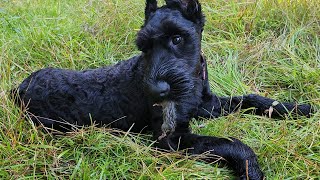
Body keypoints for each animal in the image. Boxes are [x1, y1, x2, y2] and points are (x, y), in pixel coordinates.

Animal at [11, 0, 310, 179]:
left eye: (177, 38)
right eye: (143, 46)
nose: (157, 91)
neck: (193, 81)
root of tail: (20, 86)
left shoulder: (207, 106)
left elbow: (251, 98)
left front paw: (296, 108)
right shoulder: (171, 140)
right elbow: (230, 143)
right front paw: (251, 170)